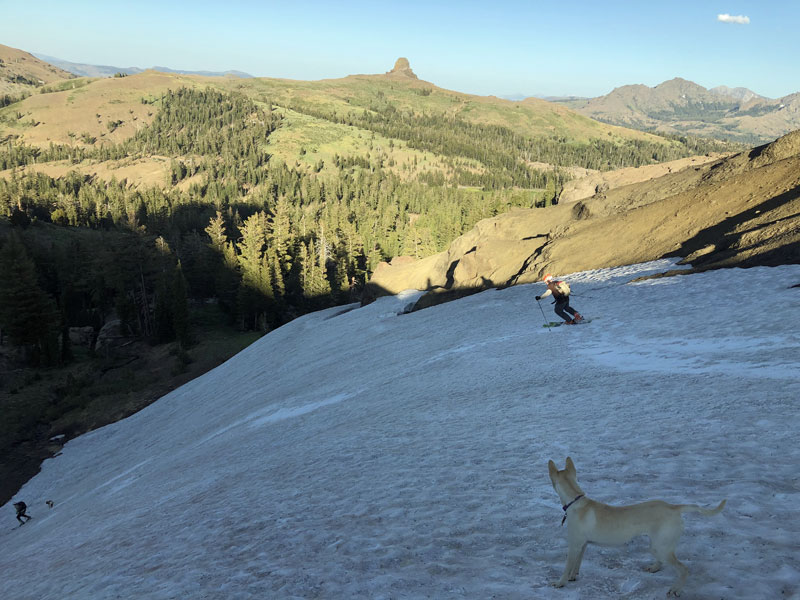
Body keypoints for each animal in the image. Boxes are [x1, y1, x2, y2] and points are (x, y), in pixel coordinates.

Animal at [552, 460, 724, 596]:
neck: (575, 501)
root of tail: (673, 507)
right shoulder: (582, 545)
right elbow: (577, 564)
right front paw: (573, 577)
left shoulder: (574, 545)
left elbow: (567, 566)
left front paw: (560, 583)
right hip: (657, 545)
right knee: (662, 562)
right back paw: (654, 568)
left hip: (661, 546)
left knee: (683, 569)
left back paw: (676, 590)